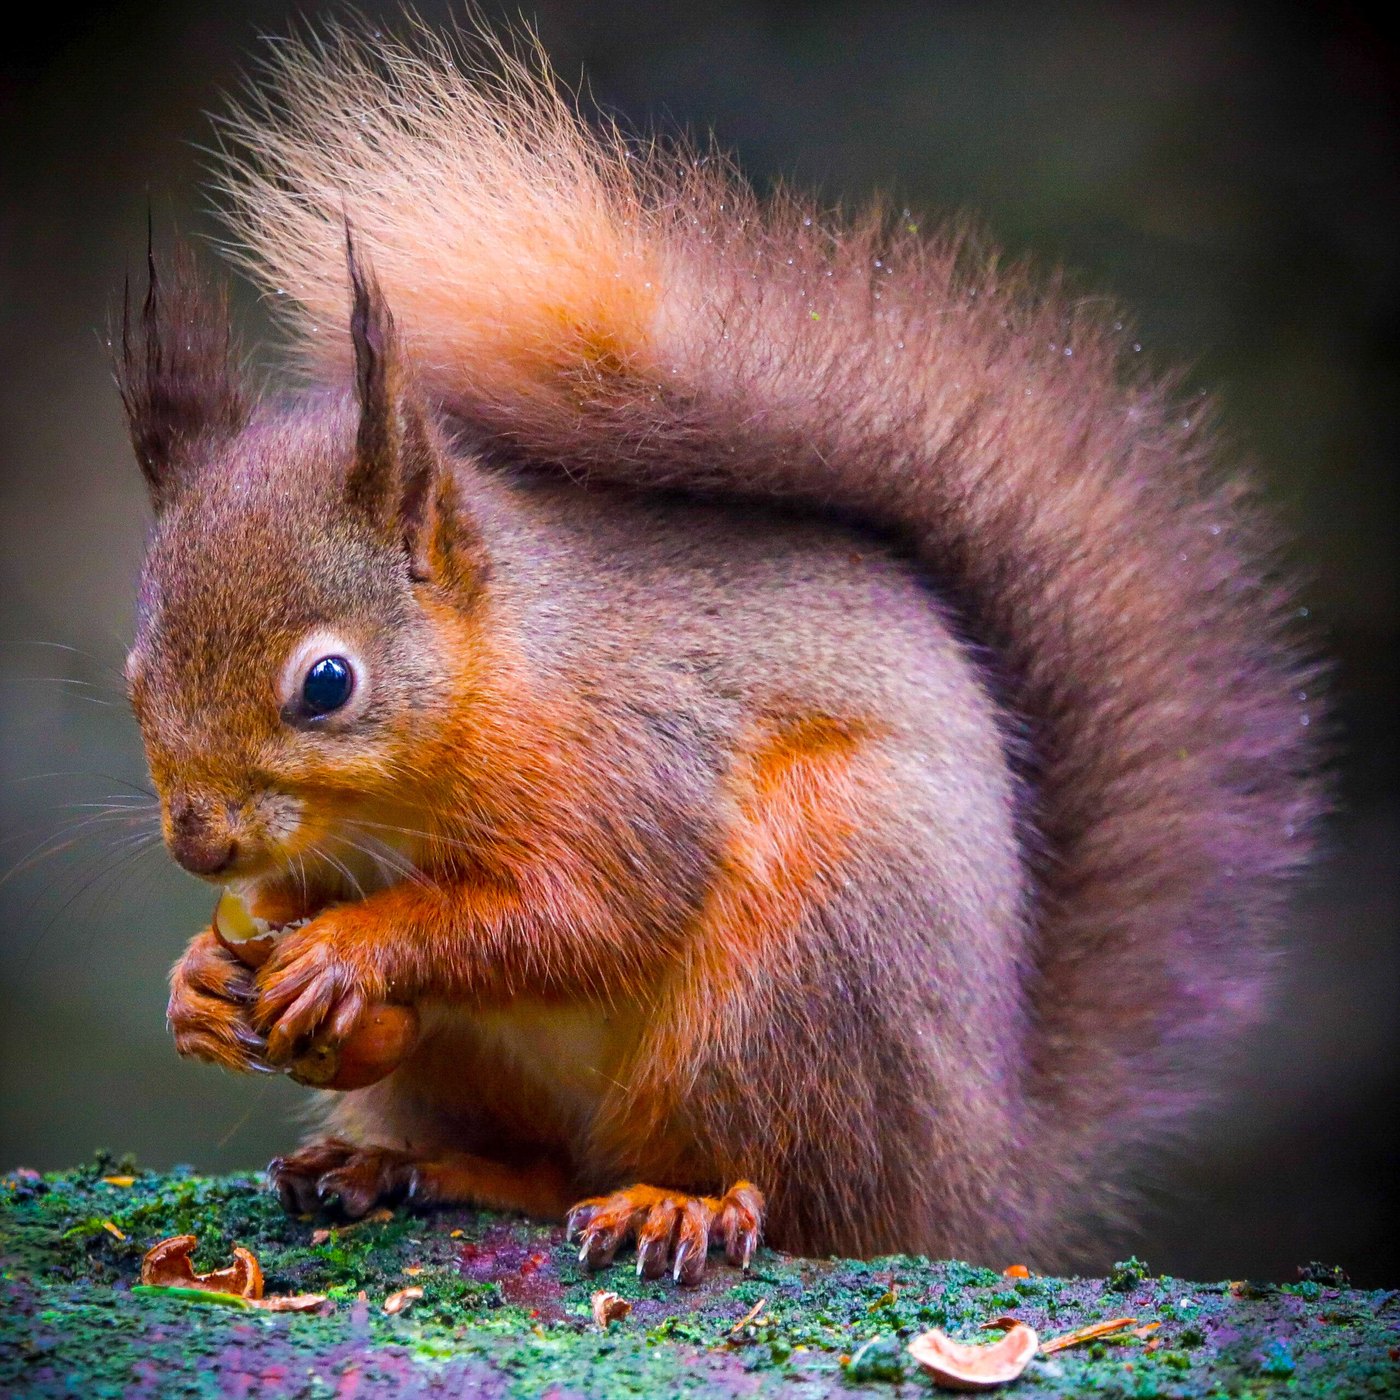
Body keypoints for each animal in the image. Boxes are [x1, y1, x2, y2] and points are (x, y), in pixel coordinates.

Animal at [114, 24, 1322, 1279]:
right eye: (134, 674)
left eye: (328, 683)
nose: (199, 844)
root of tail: (975, 1175)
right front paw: (197, 982)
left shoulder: (632, 755)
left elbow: (587, 910)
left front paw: (354, 946)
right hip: (487, 1070)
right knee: (541, 1171)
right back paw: (398, 1163)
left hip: (806, 969)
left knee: (781, 1186)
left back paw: (680, 1204)